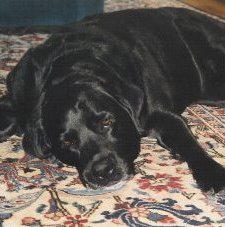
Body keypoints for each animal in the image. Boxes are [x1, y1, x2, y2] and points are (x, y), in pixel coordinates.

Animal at [0, 7, 225, 192]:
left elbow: (188, 142)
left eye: (107, 121)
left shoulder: (162, 114)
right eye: (67, 141)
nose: (102, 172)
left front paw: (212, 172)